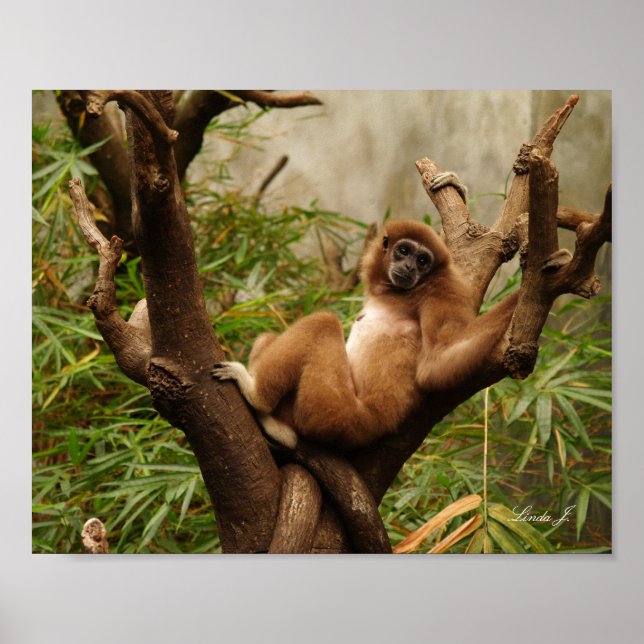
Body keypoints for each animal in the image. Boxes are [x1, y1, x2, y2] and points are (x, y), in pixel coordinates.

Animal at [212, 219, 520, 451]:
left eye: (423, 260)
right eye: (404, 251)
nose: (410, 267)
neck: (398, 294)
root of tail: (375, 424)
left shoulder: (444, 288)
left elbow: (438, 361)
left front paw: (523, 295)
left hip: (334, 412)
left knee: (323, 322)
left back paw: (258, 399)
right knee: (270, 337)